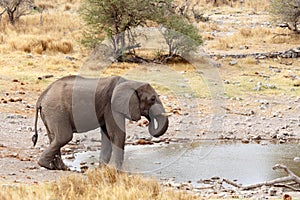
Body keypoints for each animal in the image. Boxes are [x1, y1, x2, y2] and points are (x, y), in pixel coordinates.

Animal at [32, 75, 169, 170]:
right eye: (152, 99)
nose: (149, 119)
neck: (130, 81)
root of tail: (41, 97)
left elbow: (108, 135)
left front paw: (102, 169)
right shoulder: (111, 105)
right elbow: (117, 134)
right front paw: (115, 170)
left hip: (51, 112)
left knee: (54, 138)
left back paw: (60, 168)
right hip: (56, 110)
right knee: (64, 137)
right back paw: (48, 165)